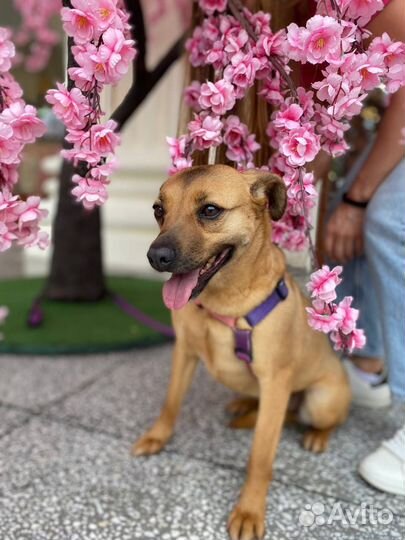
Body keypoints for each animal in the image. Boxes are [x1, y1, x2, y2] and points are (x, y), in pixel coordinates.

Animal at [133, 165, 350, 540]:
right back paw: (243, 404)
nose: (156, 257)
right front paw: (157, 436)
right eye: (159, 210)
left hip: (320, 401)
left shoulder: (275, 382)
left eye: (210, 210)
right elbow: (170, 403)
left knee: (320, 420)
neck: (222, 304)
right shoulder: (184, 352)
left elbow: (260, 458)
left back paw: (317, 436)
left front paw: (249, 510)